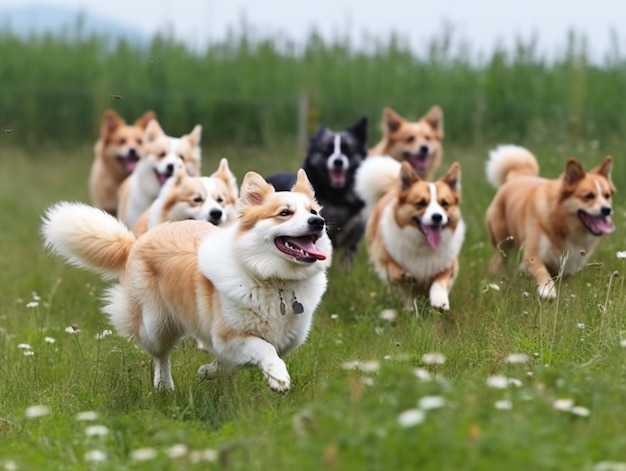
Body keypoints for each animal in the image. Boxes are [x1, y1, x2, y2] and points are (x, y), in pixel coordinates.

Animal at [42, 170, 334, 394]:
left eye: (312, 210)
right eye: (284, 213)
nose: (318, 221)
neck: (275, 281)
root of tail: (137, 242)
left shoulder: (283, 340)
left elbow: (234, 362)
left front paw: (209, 371)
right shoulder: (230, 334)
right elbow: (264, 349)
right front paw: (278, 378)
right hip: (156, 325)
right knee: (160, 356)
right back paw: (164, 387)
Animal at [266, 116, 368, 268]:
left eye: (347, 150)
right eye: (327, 150)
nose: (338, 161)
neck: (338, 195)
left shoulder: (358, 226)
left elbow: (349, 251)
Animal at [354, 155, 460, 312]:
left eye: (444, 203)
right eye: (421, 203)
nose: (437, 217)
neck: (424, 246)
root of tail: (395, 188)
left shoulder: (448, 266)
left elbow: (439, 282)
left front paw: (440, 302)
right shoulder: (384, 260)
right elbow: (394, 271)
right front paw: (405, 275)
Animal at [486, 145, 612, 298]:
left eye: (607, 195)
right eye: (589, 196)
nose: (607, 209)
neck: (563, 225)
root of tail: (518, 176)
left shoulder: (568, 267)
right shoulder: (532, 255)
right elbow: (542, 272)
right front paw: (548, 291)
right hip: (502, 243)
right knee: (499, 260)